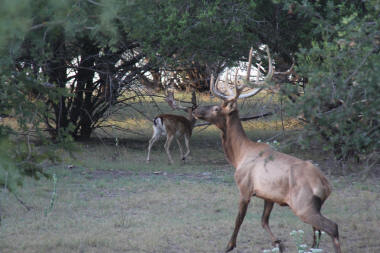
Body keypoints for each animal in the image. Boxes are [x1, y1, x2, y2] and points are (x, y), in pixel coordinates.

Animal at [191, 46, 342, 253]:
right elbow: (263, 221)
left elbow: (238, 220)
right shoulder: (268, 196)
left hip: (303, 205)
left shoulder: (245, 187)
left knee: (332, 227)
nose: (195, 110)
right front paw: (278, 242)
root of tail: (326, 185)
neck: (238, 156)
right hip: (313, 206)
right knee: (317, 231)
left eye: (216, 108)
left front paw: (229, 245)